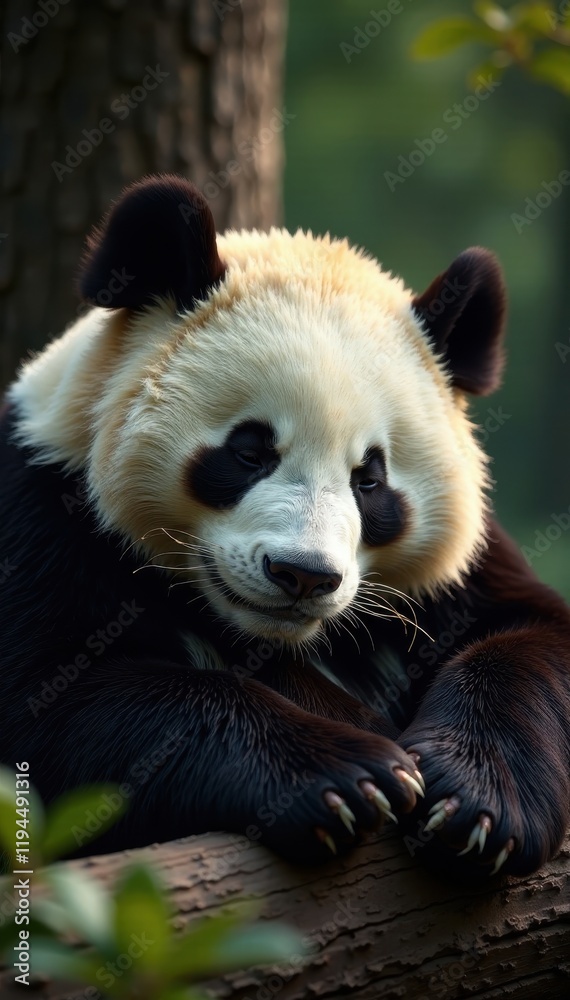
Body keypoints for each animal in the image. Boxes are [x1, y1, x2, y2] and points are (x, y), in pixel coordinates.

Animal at [1, 175, 569, 880]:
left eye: (369, 478)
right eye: (250, 450)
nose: (304, 575)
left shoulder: (463, 576)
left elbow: (529, 638)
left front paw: (478, 804)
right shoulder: (44, 519)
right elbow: (57, 708)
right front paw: (348, 776)